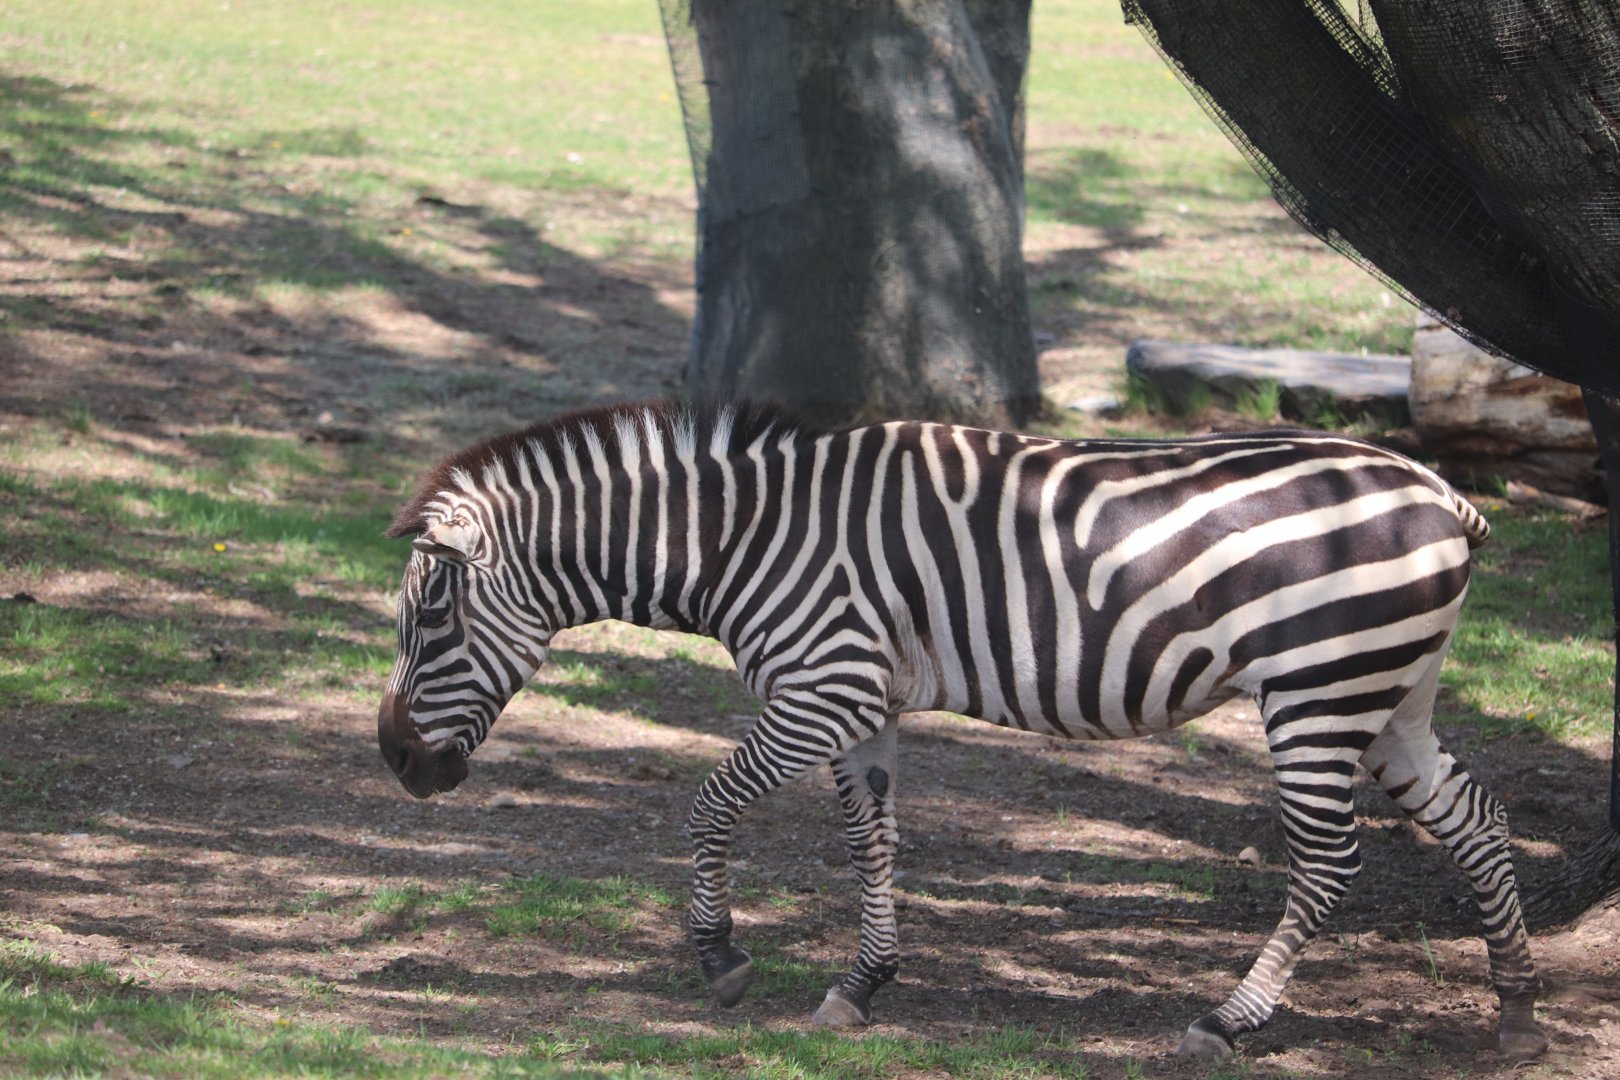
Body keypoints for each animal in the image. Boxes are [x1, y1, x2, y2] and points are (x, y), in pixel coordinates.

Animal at [376, 400, 1546, 1059]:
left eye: (430, 621)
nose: (395, 761)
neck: (740, 538)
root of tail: (1444, 492)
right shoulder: (863, 703)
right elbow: (872, 843)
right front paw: (861, 986)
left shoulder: (822, 688)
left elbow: (707, 806)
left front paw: (719, 959)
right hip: (1389, 693)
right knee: (1481, 821)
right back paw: (1519, 1015)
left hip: (1319, 689)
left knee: (1329, 862)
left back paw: (1231, 1021)